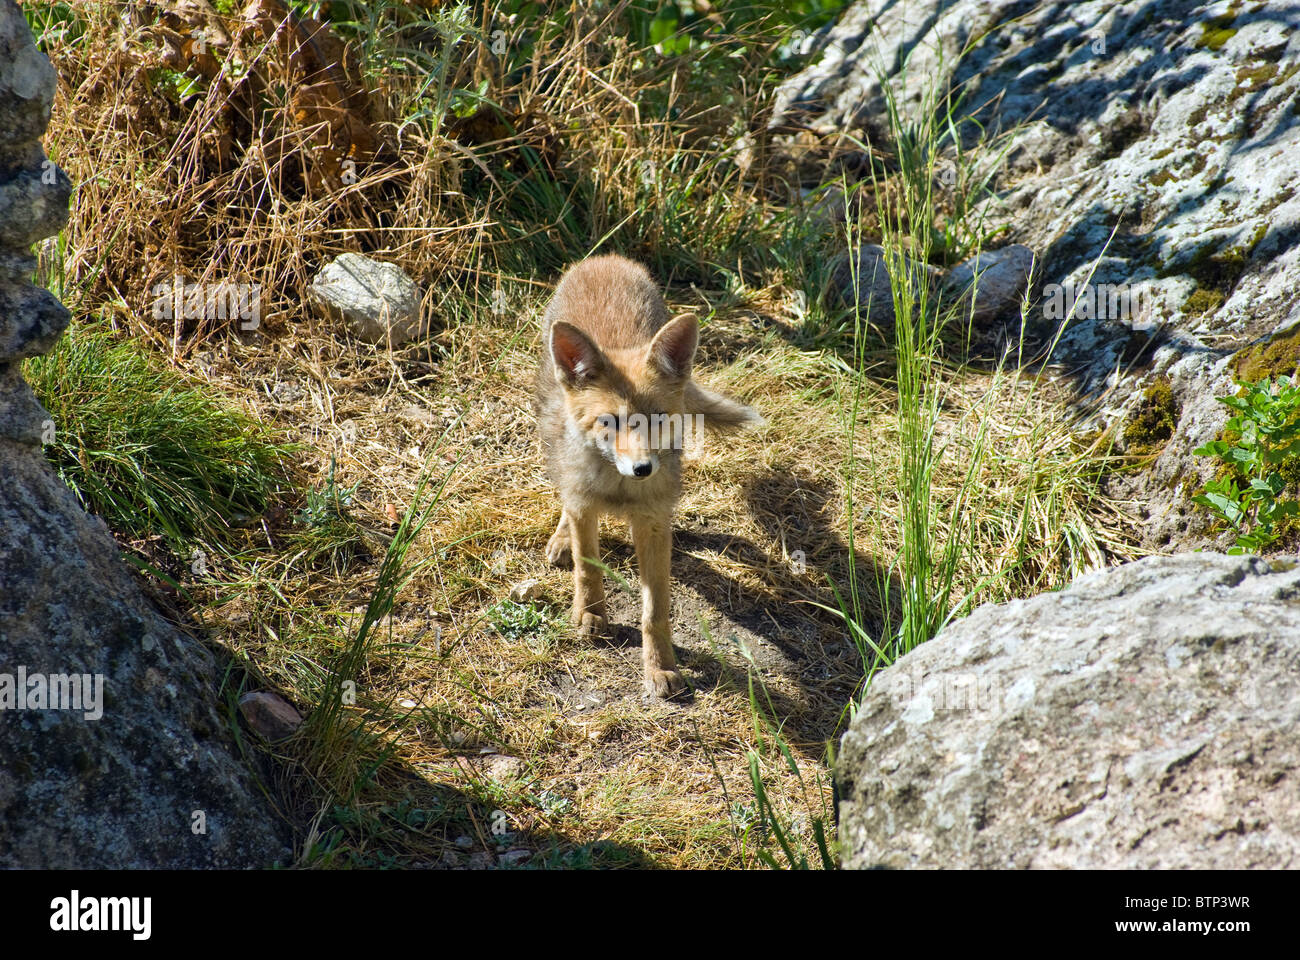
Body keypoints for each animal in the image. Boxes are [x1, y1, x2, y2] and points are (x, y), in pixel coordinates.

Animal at [535, 255, 761, 697]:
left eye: (656, 418)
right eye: (609, 421)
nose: (642, 468)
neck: (620, 492)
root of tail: (606, 259)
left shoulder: (654, 522)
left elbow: (655, 611)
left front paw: (659, 667)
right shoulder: (586, 506)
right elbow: (588, 568)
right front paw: (590, 615)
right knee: (565, 495)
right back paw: (562, 538)